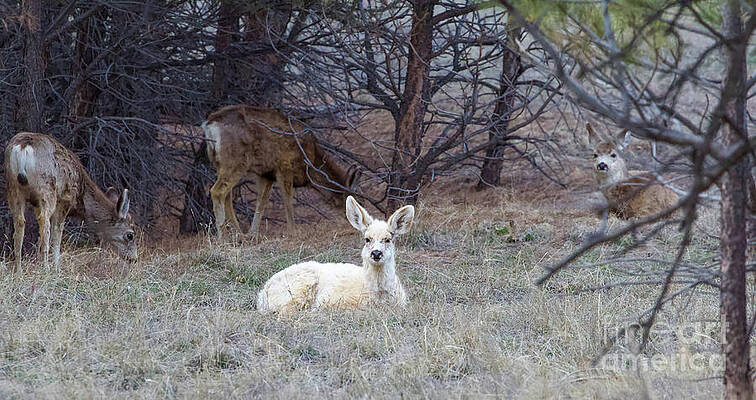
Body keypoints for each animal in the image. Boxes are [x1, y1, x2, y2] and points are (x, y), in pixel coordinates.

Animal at [5, 132, 138, 272]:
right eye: (130, 235)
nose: (134, 258)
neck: (82, 196)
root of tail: (23, 146)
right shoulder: (64, 201)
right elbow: (57, 233)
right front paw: (56, 266)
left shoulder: (37, 205)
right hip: (47, 188)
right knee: (44, 223)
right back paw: (45, 267)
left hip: (13, 187)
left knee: (20, 222)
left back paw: (18, 269)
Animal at [202, 105, 361, 238]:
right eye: (355, 200)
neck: (311, 163)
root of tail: (209, 125)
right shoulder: (284, 166)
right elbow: (287, 199)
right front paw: (293, 231)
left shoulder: (266, 174)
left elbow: (262, 202)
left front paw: (253, 234)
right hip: (235, 160)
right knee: (217, 191)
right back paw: (222, 238)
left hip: (219, 163)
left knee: (227, 195)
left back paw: (239, 234)